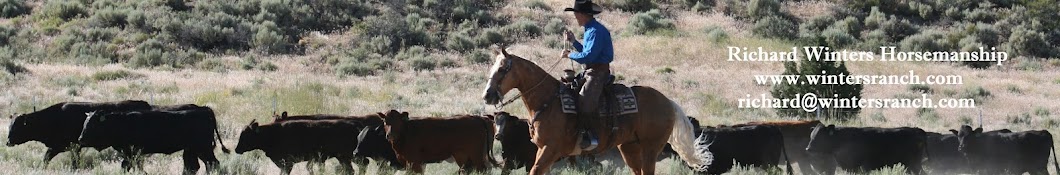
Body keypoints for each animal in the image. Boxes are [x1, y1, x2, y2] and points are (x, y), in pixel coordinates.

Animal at [5, 100, 151, 166]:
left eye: (17, 127)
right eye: (10, 125)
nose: (8, 142)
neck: (54, 118)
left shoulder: (71, 147)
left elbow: (73, 163)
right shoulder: (57, 147)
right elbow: (46, 160)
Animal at [77, 105, 228, 173]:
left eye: (92, 125)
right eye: (85, 123)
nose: (80, 138)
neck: (121, 123)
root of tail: (204, 109)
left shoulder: (132, 153)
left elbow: (128, 166)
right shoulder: (131, 154)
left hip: (203, 148)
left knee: (212, 163)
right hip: (192, 150)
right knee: (193, 166)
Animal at [235, 114, 377, 173]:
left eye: (246, 135)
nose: (237, 149)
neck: (272, 133)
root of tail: (356, 124)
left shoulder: (287, 163)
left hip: (350, 156)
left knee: (361, 165)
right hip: (344, 157)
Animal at [481, 47, 712, 174]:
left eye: (502, 69)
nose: (487, 95)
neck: (548, 101)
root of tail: (668, 102)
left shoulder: (550, 149)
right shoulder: (541, 150)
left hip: (650, 148)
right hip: (629, 147)